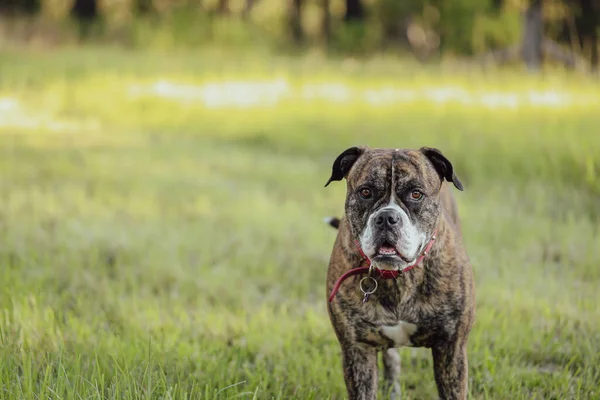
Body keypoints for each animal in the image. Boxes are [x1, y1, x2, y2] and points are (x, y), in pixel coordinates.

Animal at [324, 146, 474, 400]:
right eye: (365, 192)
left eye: (416, 194)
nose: (387, 218)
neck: (398, 276)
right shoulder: (357, 351)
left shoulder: (451, 349)